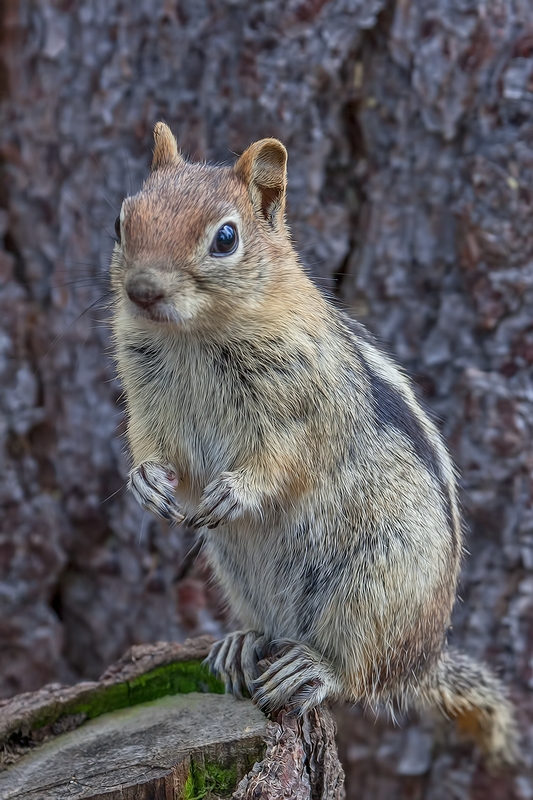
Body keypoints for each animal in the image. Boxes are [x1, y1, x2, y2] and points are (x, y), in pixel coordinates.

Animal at [110, 122, 516, 764]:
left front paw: (237, 490)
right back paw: (243, 643)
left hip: (374, 590)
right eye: (121, 222)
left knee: (359, 675)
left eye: (225, 237)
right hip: (239, 573)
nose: (142, 291)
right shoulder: (146, 398)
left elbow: (285, 458)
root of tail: (422, 662)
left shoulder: (305, 406)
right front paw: (146, 482)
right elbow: (151, 443)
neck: (193, 336)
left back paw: (312, 667)